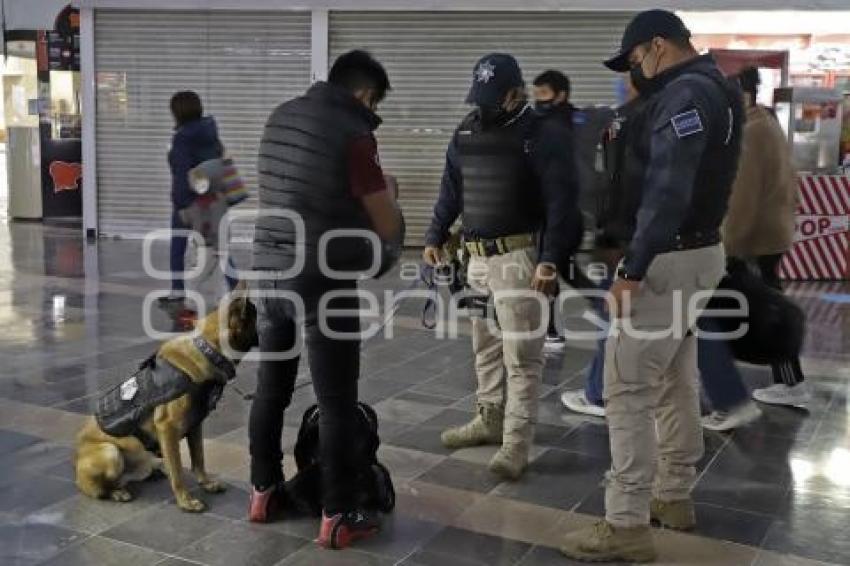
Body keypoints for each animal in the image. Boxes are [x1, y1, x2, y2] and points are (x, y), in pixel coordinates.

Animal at [73, 288, 256, 516]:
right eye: (259, 317)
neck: (208, 350)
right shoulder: (167, 428)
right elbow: (177, 470)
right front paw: (186, 501)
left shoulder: (195, 426)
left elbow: (199, 459)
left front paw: (206, 483)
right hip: (111, 453)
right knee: (101, 489)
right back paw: (117, 491)